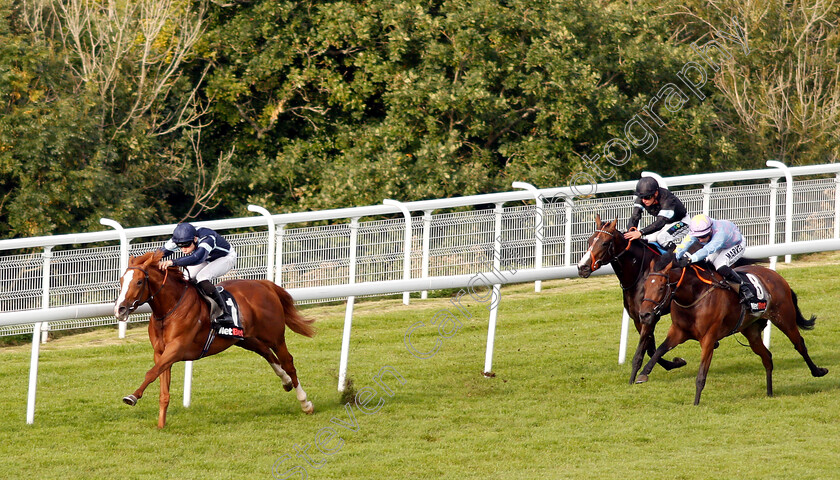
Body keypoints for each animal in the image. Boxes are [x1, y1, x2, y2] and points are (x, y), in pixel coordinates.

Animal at [113, 249, 316, 426]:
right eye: (122, 280)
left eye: (139, 282)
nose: (119, 309)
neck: (169, 309)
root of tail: (264, 284)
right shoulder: (161, 352)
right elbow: (162, 387)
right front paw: (161, 425)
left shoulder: (176, 349)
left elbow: (151, 373)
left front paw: (132, 397)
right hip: (245, 338)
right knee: (267, 354)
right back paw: (286, 382)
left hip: (275, 336)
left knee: (288, 362)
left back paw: (305, 403)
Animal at [576, 215, 688, 382]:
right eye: (589, 241)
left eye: (604, 243)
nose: (582, 267)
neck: (640, 273)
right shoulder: (637, 318)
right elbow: (650, 349)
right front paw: (676, 362)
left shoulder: (650, 317)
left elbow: (644, 351)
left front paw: (633, 378)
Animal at [636, 253, 828, 404]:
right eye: (645, 286)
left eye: (661, 287)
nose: (644, 314)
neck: (695, 295)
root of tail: (776, 276)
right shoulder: (678, 332)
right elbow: (659, 350)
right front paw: (643, 374)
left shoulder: (708, 338)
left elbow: (701, 374)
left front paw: (696, 403)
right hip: (751, 330)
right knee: (767, 356)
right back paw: (769, 392)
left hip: (784, 319)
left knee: (799, 344)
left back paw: (818, 371)